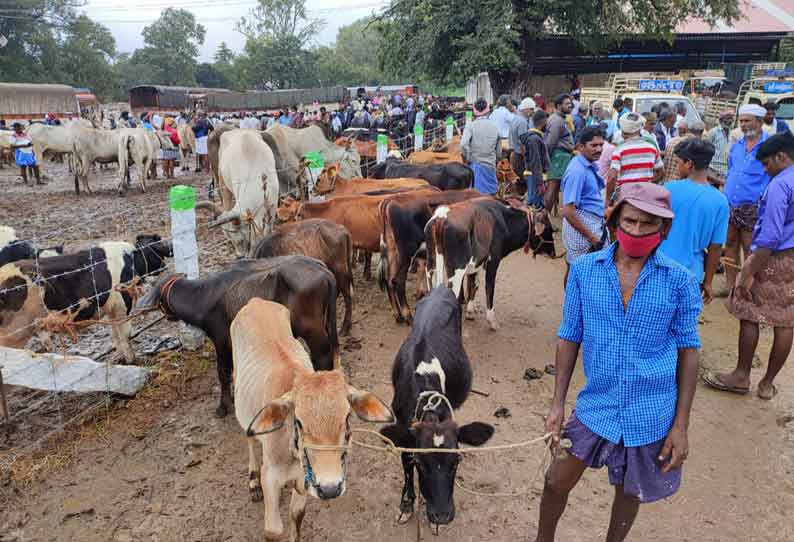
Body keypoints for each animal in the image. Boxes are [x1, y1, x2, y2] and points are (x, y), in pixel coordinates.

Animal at [0, 236, 172, 364]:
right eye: (156, 248)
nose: (164, 266)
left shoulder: (112, 309)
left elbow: (115, 335)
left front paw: (119, 358)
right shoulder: (123, 305)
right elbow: (125, 335)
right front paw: (132, 360)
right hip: (12, 335)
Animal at [139, 258, 338, 418]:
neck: (204, 296)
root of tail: (325, 273)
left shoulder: (220, 341)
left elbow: (223, 372)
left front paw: (223, 406)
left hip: (312, 330)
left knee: (323, 356)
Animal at [376, 286, 488, 532]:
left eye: (457, 461)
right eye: (421, 463)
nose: (442, 516)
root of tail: (440, 288)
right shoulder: (404, 431)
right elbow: (406, 465)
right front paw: (407, 504)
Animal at [424, 198, 552, 330]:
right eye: (549, 229)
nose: (554, 253)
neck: (504, 220)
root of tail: (441, 216)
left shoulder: (476, 263)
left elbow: (474, 284)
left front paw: (470, 312)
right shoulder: (493, 261)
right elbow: (489, 288)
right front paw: (492, 320)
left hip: (431, 267)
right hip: (456, 273)